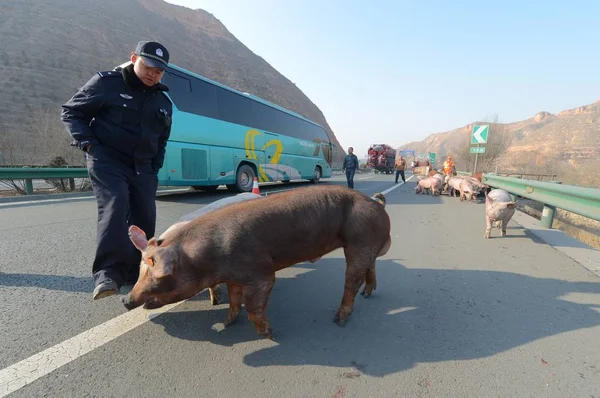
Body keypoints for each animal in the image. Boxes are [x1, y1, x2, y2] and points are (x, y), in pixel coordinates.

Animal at [122, 186, 394, 338]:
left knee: (352, 281)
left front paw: (270, 335)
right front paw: (226, 323)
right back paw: (369, 294)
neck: (206, 257)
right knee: (370, 267)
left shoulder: (260, 273)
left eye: (156, 274)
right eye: (140, 270)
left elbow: (253, 305)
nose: (126, 300)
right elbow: (234, 301)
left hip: (359, 241)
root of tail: (376, 202)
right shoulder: (232, 276)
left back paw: (339, 320)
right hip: (363, 245)